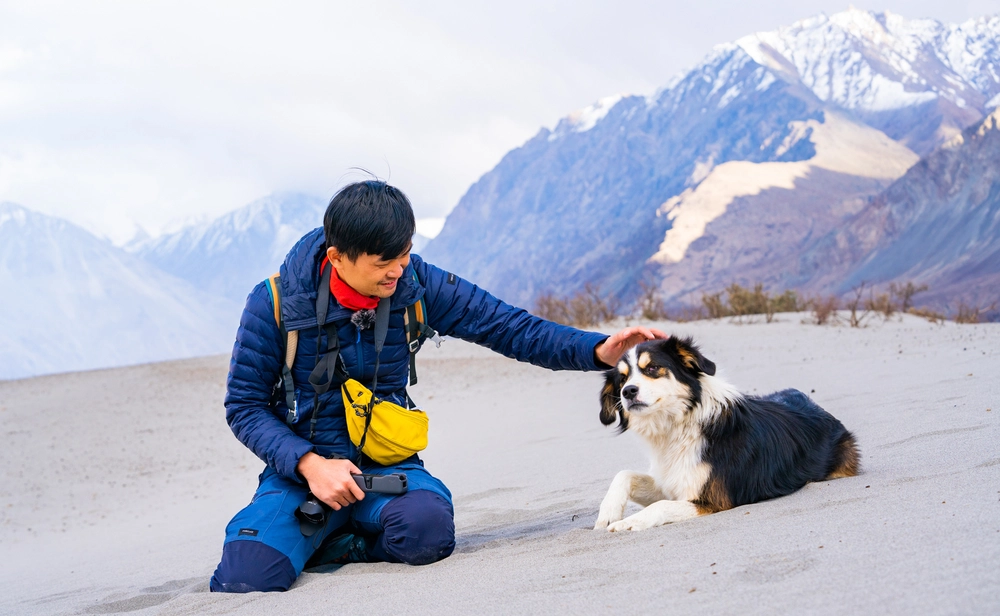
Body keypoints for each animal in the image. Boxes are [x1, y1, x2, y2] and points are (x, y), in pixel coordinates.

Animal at [592, 334, 860, 532]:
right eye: (622, 379)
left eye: (653, 368)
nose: (628, 392)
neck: (679, 424)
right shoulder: (672, 480)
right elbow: (625, 474)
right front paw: (609, 512)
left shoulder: (714, 499)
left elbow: (661, 505)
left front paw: (629, 522)